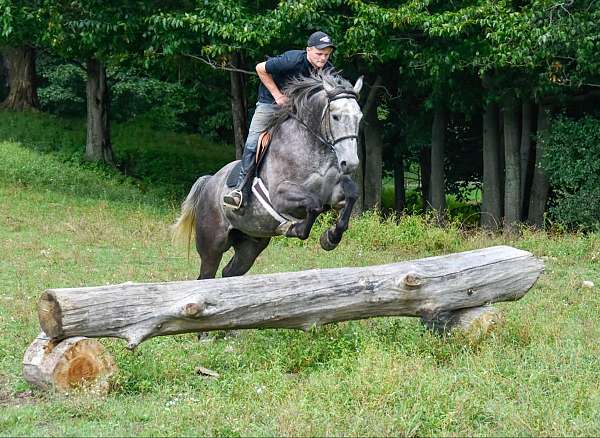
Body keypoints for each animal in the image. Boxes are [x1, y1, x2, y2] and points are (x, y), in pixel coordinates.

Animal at [171, 69, 364, 278]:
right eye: (335, 116)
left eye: (360, 117)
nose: (350, 163)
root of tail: (208, 182)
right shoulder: (280, 196)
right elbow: (314, 204)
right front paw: (295, 228)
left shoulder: (334, 194)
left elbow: (351, 195)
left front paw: (330, 237)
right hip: (212, 245)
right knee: (206, 274)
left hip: (250, 244)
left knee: (229, 272)